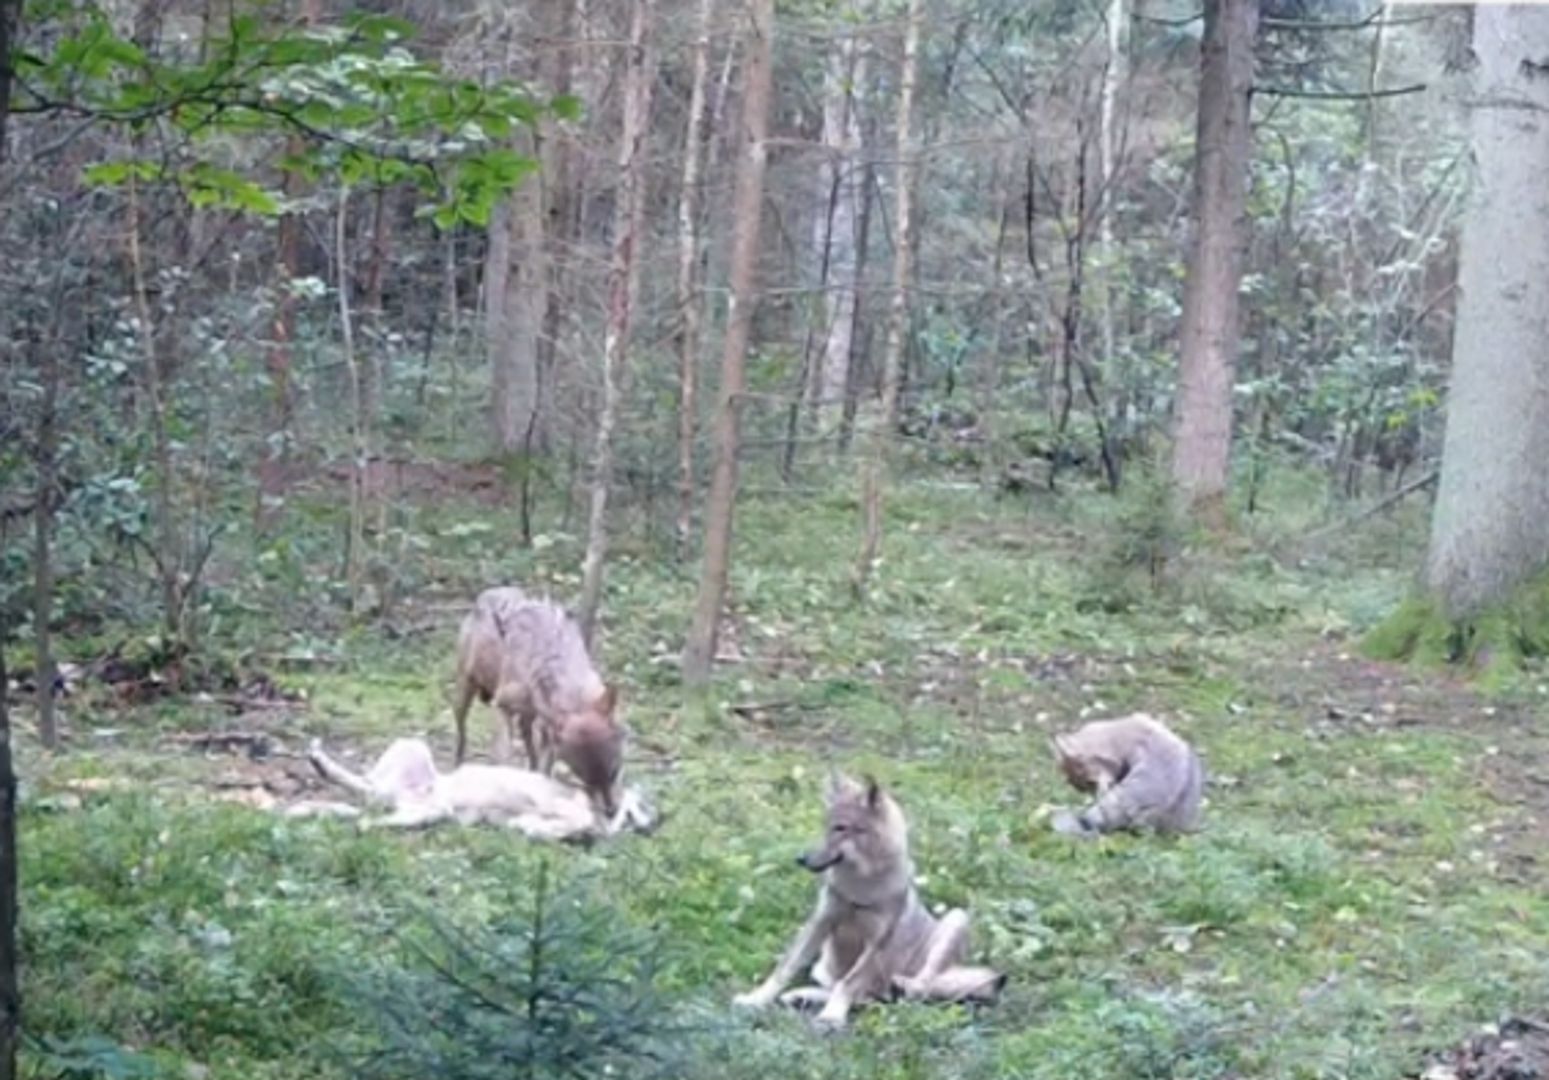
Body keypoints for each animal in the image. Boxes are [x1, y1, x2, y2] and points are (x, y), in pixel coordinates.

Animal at [305, 734, 656, 842]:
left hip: (428, 811)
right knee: (366, 787)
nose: (654, 821)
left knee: (369, 805)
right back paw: (318, 759)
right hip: (414, 748)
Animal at [734, 774, 1003, 1028]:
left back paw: (900, 984)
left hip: (956, 919)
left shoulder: (878, 943)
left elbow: (848, 983)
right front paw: (756, 999)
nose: (800, 859)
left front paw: (831, 1017)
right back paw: (800, 996)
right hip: (824, 966)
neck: (861, 887)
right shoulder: (820, 922)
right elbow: (785, 968)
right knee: (859, 994)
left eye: (841, 828)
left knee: (917, 988)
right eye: (824, 827)